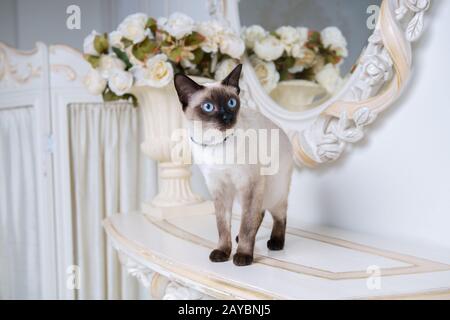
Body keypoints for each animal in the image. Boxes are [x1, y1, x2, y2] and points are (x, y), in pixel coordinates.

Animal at [174, 63, 294, 266]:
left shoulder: (249, 184)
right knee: (260, 213)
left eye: (231, 103)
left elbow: (246, 224)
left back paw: (276, 243)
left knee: (279, 215)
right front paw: (223, 252)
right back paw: (240, 238)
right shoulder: (219, 188)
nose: (227, 118)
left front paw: (243, 256)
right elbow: (223, 227)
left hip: (272, 191)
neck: (215, 143)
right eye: (208, 107)